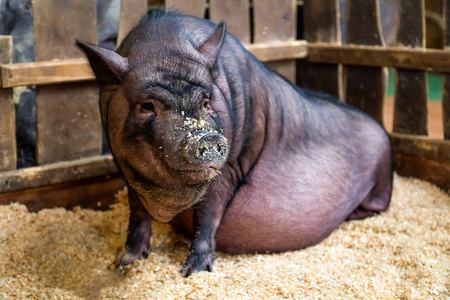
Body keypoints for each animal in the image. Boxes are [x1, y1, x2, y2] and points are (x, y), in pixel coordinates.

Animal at [76, 8, 390, 276]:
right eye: (147, 106)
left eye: (206, 101)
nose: (207, 137)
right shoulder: (125, 169)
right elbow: (137, 213)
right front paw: (123, 263)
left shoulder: (230, 166)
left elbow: (207, 217)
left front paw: (193, 272)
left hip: (380, 182)